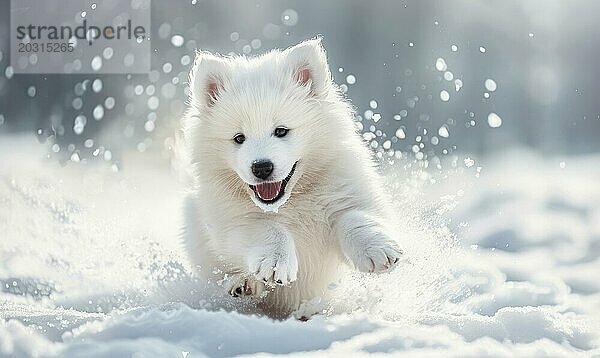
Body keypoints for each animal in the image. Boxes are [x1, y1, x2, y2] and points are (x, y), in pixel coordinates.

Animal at [179, 37, 404, 318]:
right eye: (239, 138)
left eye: (281, 131)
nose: (261, 167)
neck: (293, 201)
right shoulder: (231, 220)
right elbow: (266, 229)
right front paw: (275, 265)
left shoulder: (347, 190)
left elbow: (354, 216)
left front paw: (378, 251)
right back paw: (245, 283)